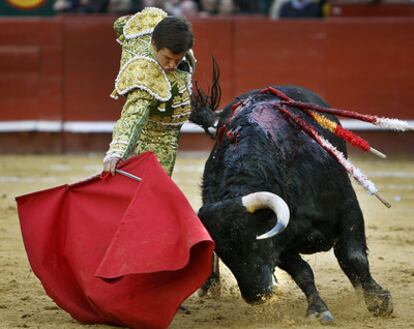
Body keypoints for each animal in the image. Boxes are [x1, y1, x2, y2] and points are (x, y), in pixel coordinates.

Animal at [191, 86, 392, 322]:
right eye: (223, 252)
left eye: (254, 243)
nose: (255, 296)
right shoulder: (281, 244)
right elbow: (303, 272)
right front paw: (318, 309)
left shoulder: (348, 209)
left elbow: (354, 257)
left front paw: (378, 301)